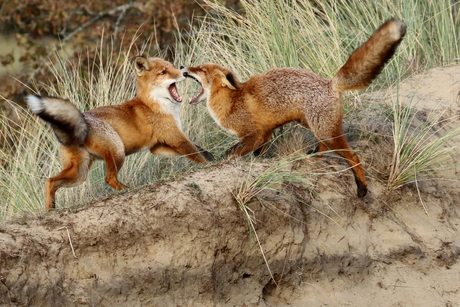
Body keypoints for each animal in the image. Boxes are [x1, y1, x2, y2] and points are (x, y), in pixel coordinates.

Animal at [25, 57, 212, 212]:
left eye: (172, 67)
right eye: (163, 72)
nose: (184, 72)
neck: (153, 105)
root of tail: (82, 120)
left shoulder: (158, 147)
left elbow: (199, 149)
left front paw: (211, 156)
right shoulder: (176, 138)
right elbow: (196, 153)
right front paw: (208, 165)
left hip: (79, 173)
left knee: (50, 181)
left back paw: (50, 209)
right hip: (117, 152)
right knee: (109, 179)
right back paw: (127, 190)